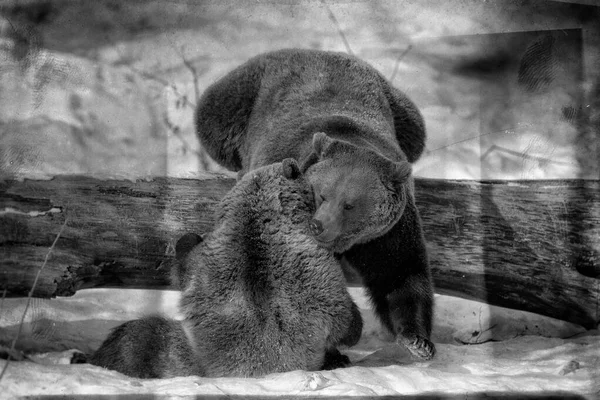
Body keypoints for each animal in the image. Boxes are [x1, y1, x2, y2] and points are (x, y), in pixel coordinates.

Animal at [197, 47, 436, 360]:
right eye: (321, 194)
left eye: (349, 205)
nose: (319, 225)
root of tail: (312, 50)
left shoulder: (387, 233)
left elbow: (401, 274)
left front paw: (417, 340)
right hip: (240, 97)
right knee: (214, 119)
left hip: (402, 112)